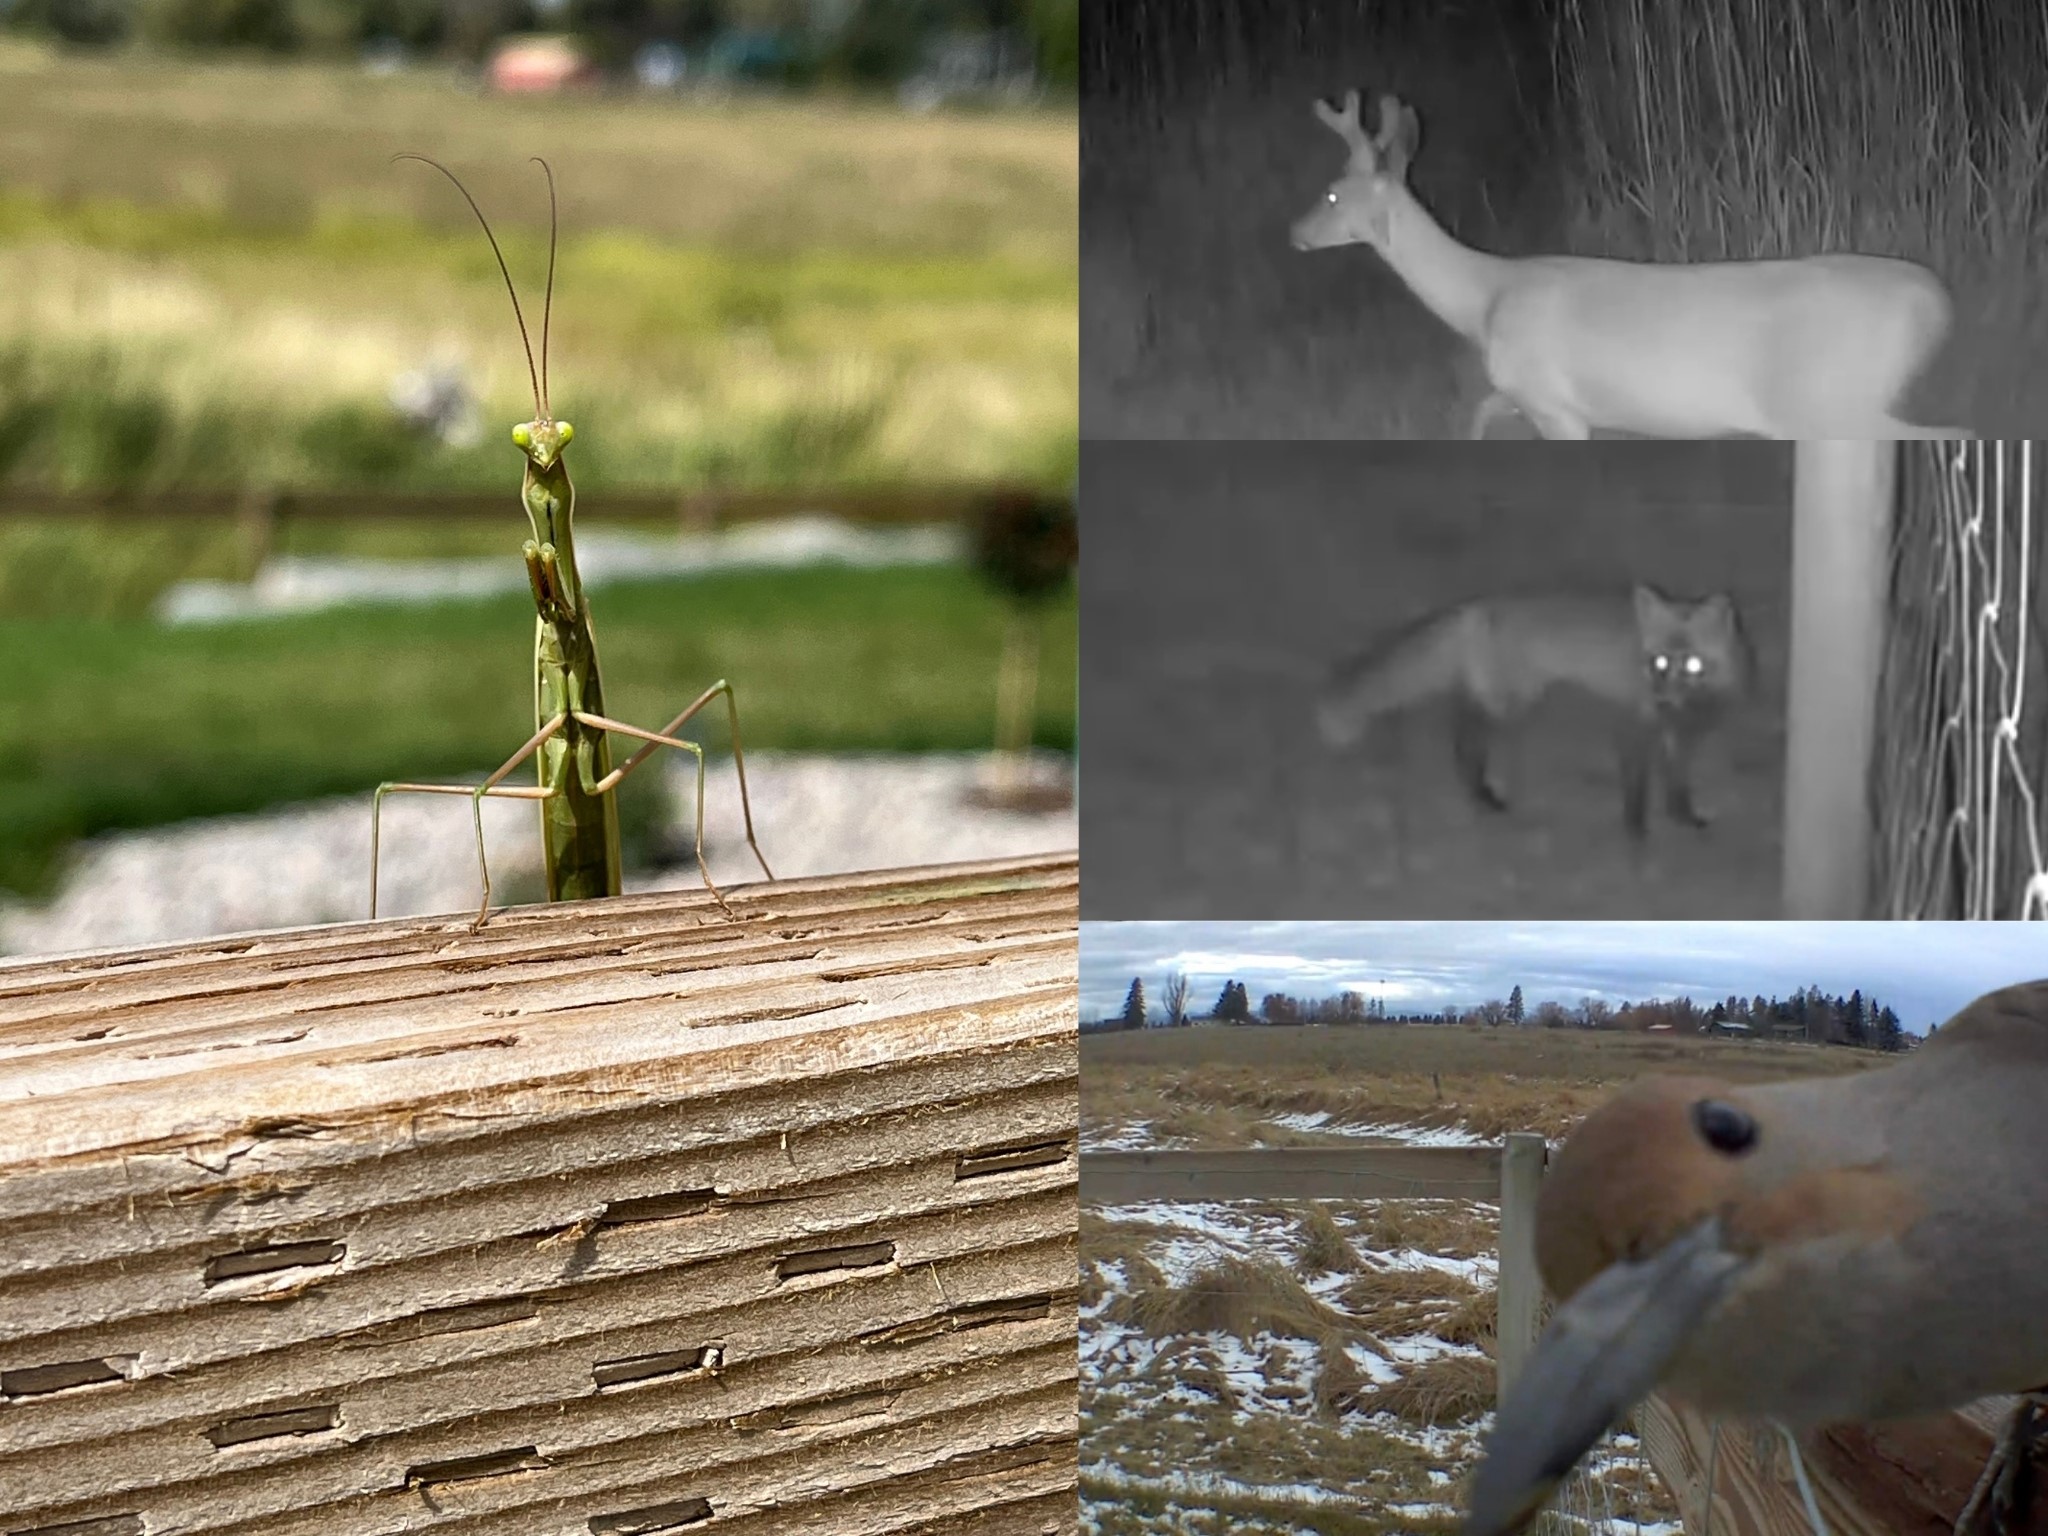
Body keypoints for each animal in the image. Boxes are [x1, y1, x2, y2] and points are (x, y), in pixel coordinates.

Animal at [1316, 584, 1752, 837]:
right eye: (1657, 662)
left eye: (1692, 665)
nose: (1663, 696)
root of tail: (1478, 604)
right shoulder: (1633, 727)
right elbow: (1636, 791)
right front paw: (1637, 835)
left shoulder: (1680, 736)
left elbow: (1678, 785)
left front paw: (1685, 819)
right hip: (1510, 702)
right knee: (1464, 735)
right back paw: (1485, 797)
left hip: (1503, 696)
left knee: (1460, 726)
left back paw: (1480, 793)